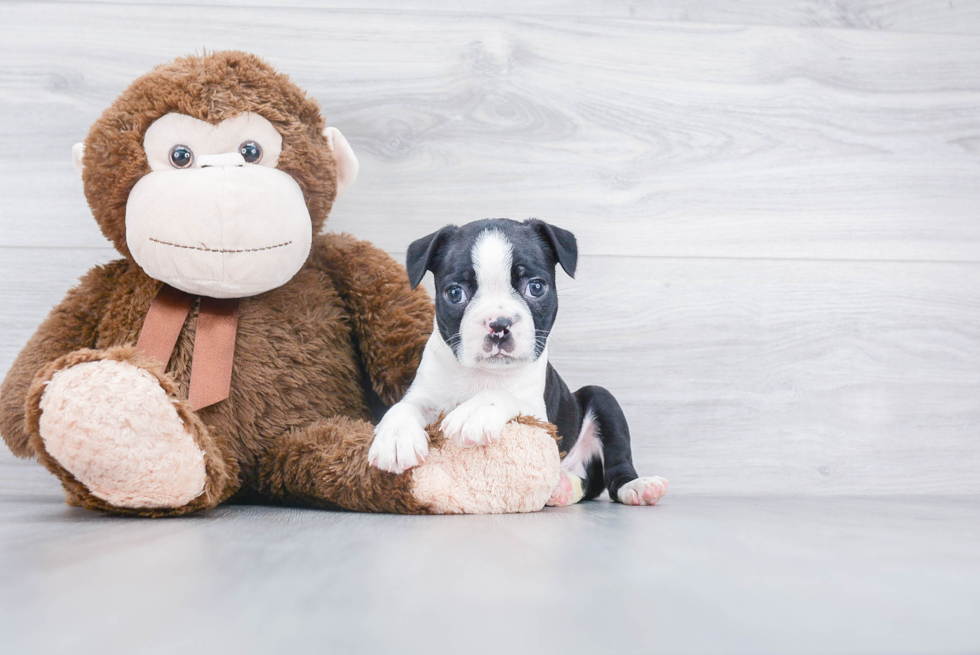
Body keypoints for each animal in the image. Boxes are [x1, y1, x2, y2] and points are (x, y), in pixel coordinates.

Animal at [368, 220, 668, 508]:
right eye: (455, 293)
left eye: (535, 287)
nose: (499, 325)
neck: (484, 373)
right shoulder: (425, 394)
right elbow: (403, 407)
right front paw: (395, 438)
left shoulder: (540, 415)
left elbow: (502, 394)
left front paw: (475, 411)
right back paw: (563, 486)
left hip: (603, 400)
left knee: (615, 469)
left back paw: (637, 486)